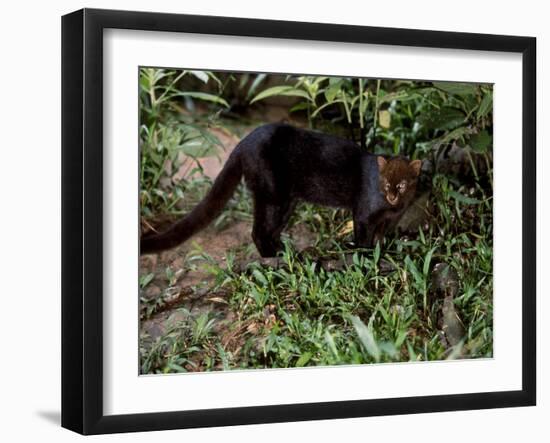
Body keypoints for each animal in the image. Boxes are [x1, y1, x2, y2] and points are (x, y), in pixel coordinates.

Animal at [142, 123, 422, 258]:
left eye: (402, 185)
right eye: (385, 183)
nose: (393, 195)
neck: (393, 208)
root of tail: (243, 142)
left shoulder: (388, 221)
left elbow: (380, 238)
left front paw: (383, 254)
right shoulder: (363, 214)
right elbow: (364, 238)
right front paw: (365, 257)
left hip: (287, 201)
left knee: (270, 231)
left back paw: (287, 254)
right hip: (272, 194)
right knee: (258, 231)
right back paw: (273, 260)